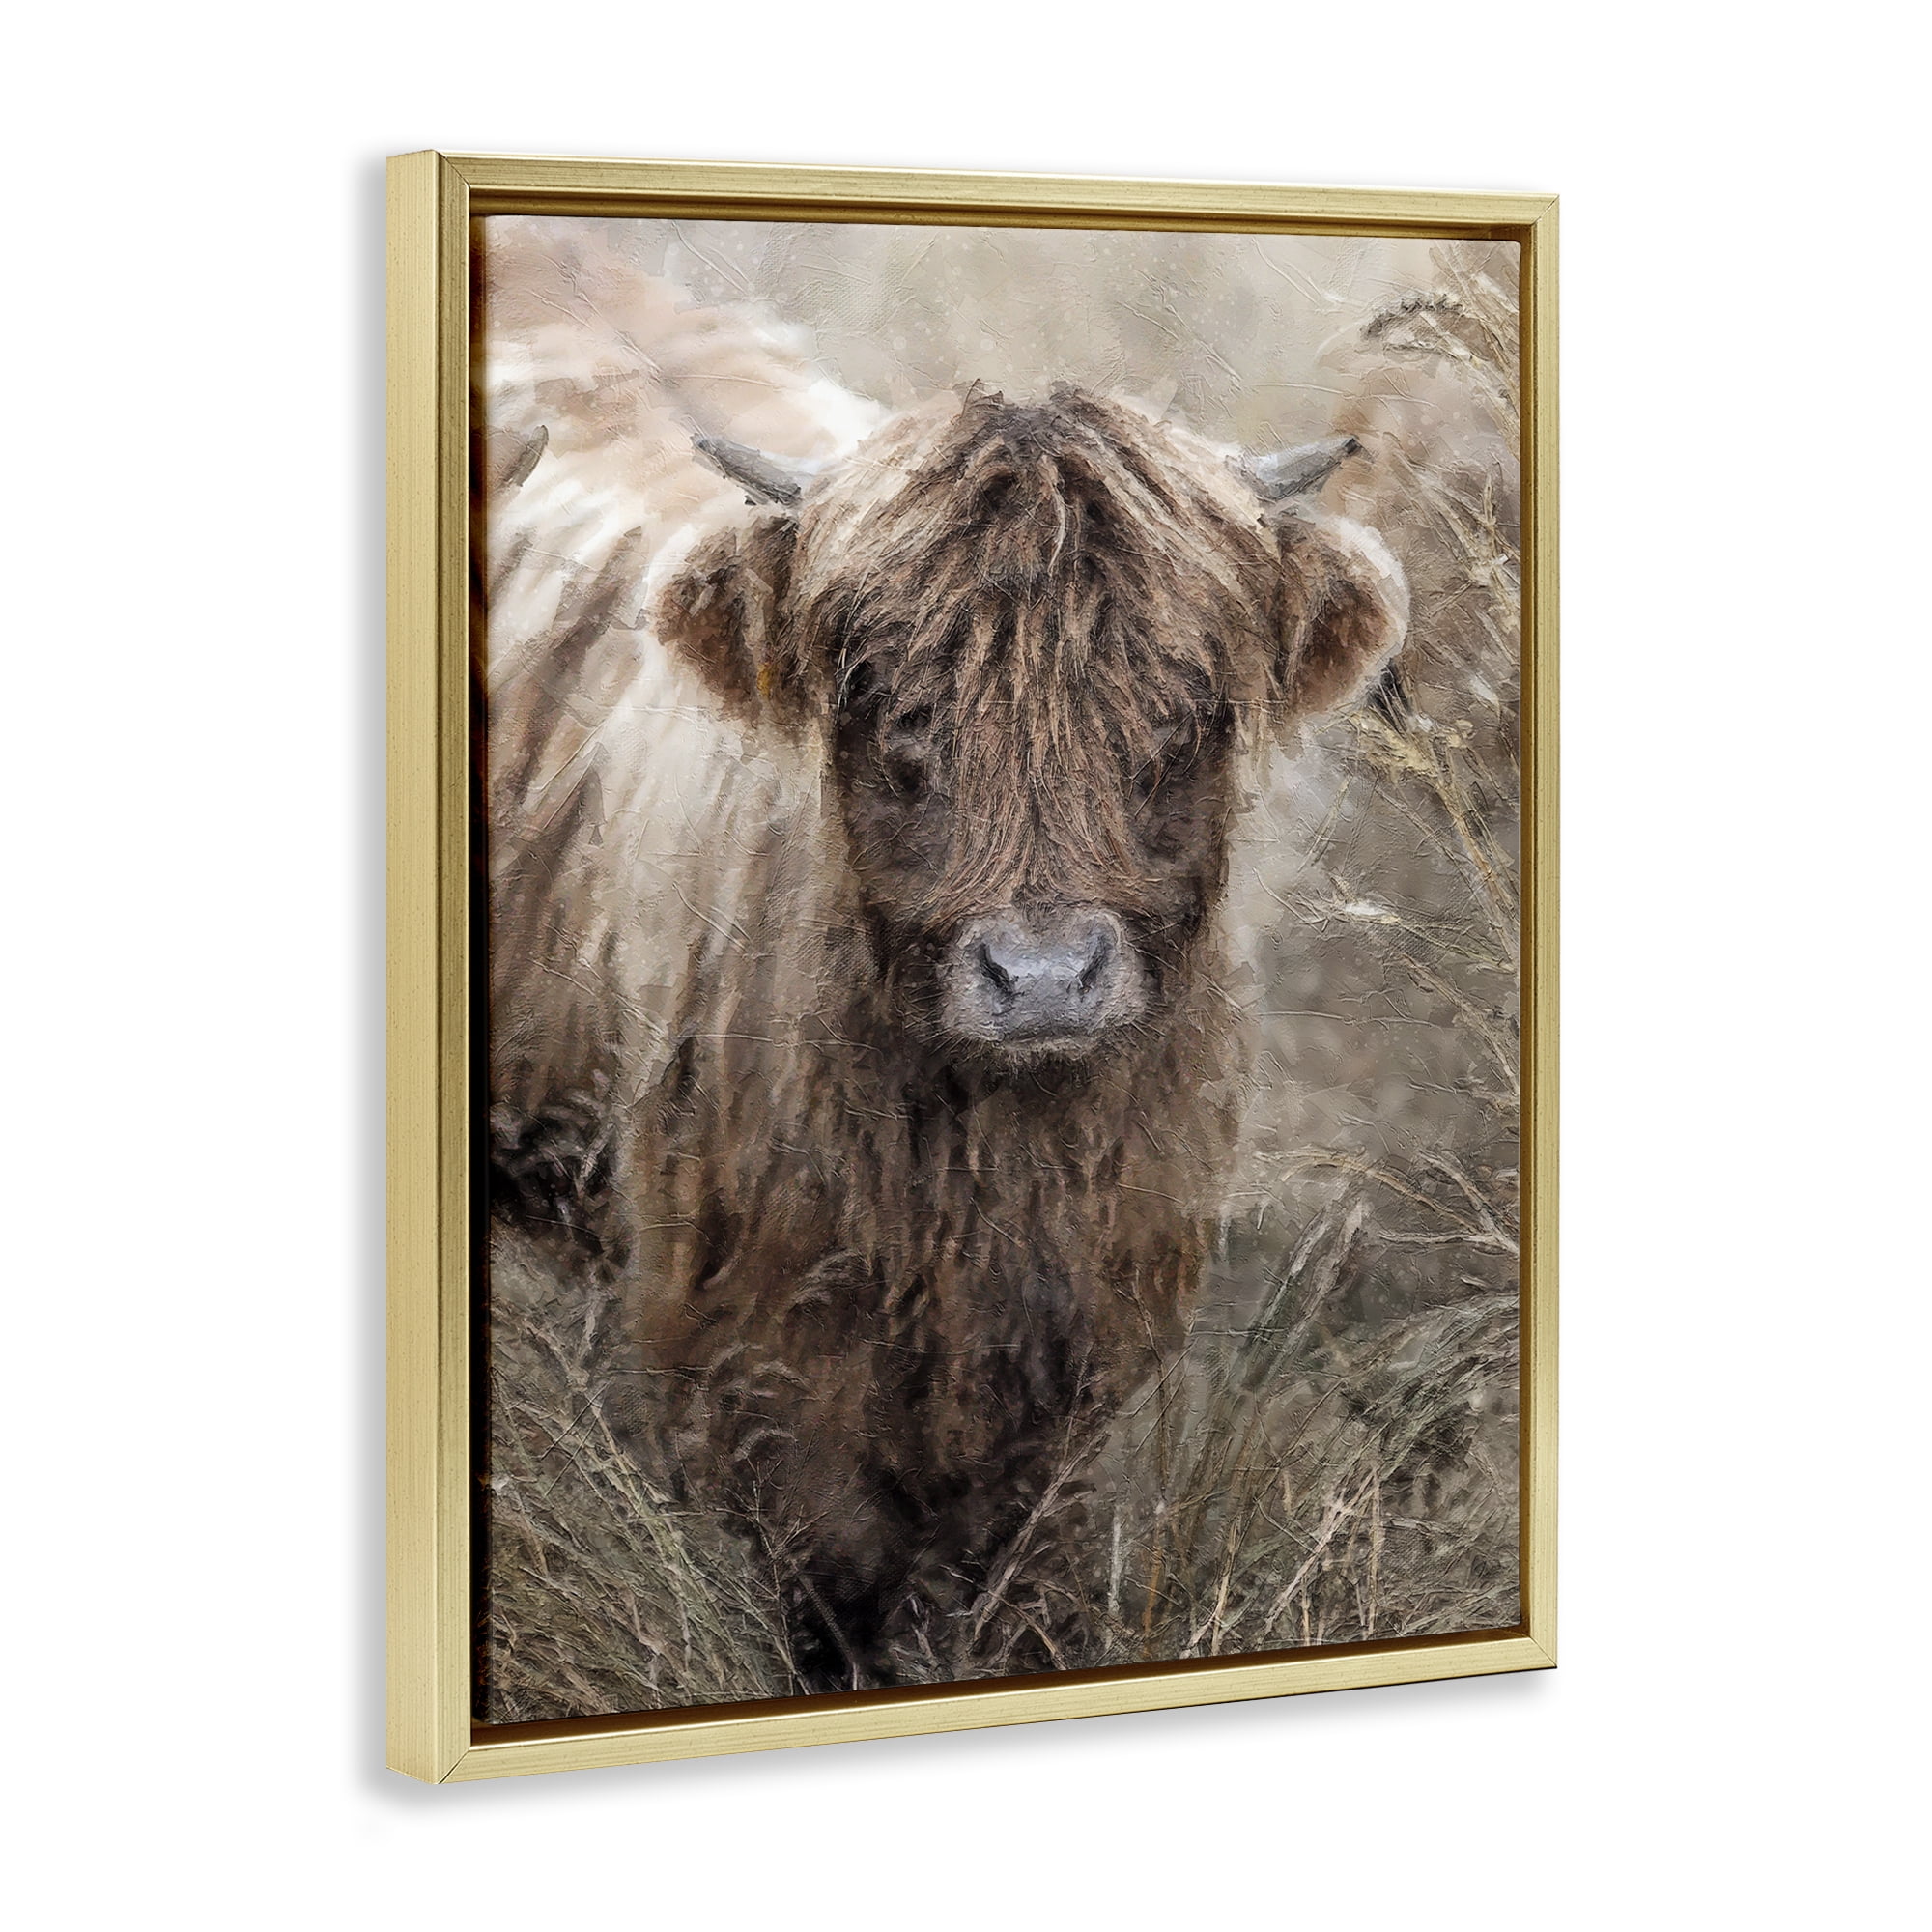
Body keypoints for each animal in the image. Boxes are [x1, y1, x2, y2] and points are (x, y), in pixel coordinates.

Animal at [480, 234, 1408, 1690]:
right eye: (896, 708)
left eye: (1181, 713)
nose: (1043, 976)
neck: (987, 1169)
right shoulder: (743, 1348)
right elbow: (831, 1585)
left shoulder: (1085, 1351)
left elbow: (1024, 1577)